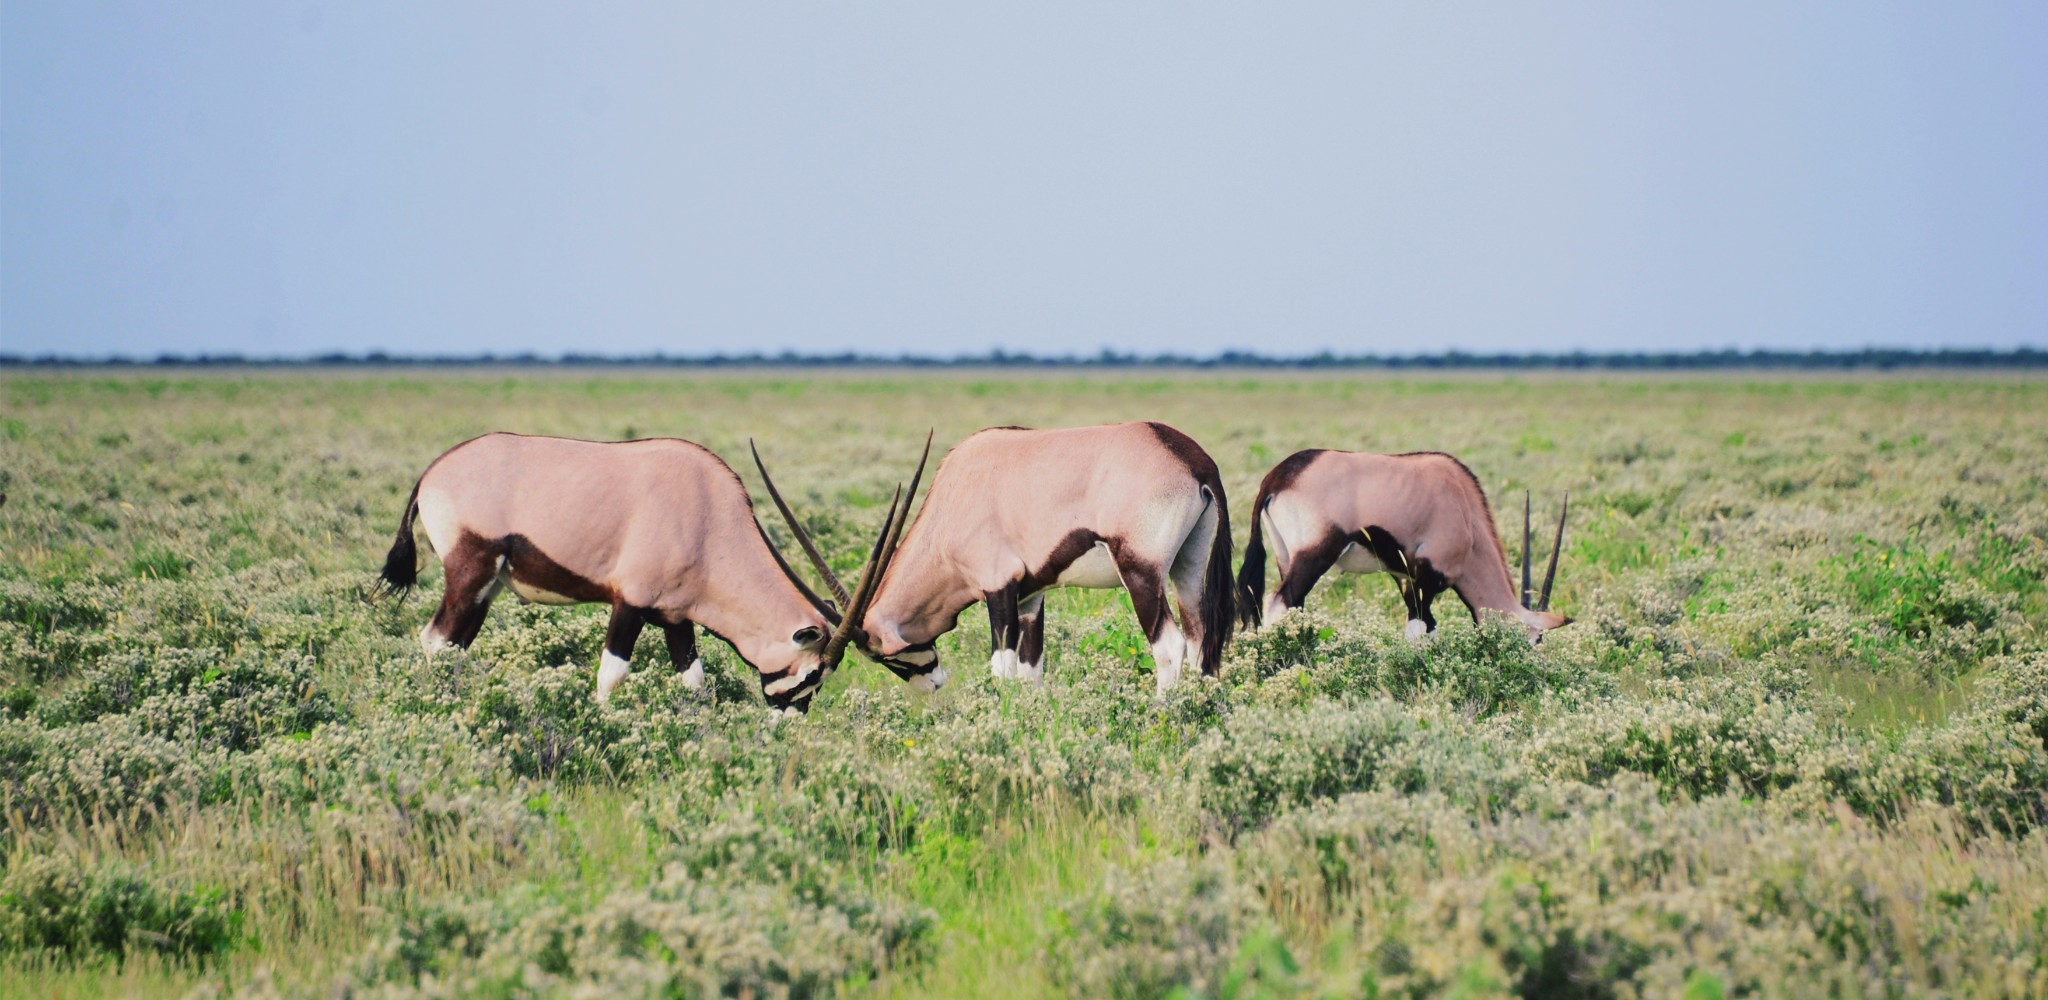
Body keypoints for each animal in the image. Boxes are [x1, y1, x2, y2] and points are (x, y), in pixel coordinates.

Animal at [376, 432, 929, 709]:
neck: (708, 518)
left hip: (485, 589)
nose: (790, 715)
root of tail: (432, 472)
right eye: (812, 673)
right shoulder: (630, 604)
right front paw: (604, 723)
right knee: (435, 640)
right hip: (469, 573)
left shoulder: (676, 618)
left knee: (453, 646)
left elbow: (695, 680)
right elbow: (612, 674)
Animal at [757, 422, 1220, 696]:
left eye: (887, 657)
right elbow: (1031, 670)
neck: (955, 497)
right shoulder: (1031, 597)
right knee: (1201, 640)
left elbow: (1002, 669)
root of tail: (1193, 460)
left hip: (1140, 572)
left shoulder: (999, 589)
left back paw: (1162, 714)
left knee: (1169, 646)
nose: (934, 685)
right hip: (1187, 570)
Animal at [1228, 446, 1564, 635]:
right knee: (1278, 604)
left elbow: (1429, 628)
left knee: (1292, 607)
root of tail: (1278, 477)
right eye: (1536, 638)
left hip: (1286, 559)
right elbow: (1418, 629)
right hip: (1313, 557)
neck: (1465, 512)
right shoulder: (1426, 580)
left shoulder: (1405, 578)